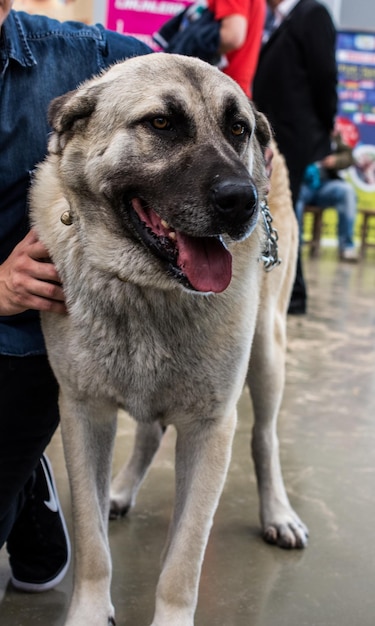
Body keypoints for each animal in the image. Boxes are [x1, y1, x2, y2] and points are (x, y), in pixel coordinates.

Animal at [30, 54, 308, 624]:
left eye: (238, 129)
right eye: (160, 123)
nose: (242, 201)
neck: (147, 287)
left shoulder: (210, 429)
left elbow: (184, 560)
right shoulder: (84, 414)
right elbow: (92, 542)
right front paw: (89, 610)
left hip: (268, 354)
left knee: (264, 437)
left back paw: (278, 512)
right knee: (150, 433)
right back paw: (119, 491)